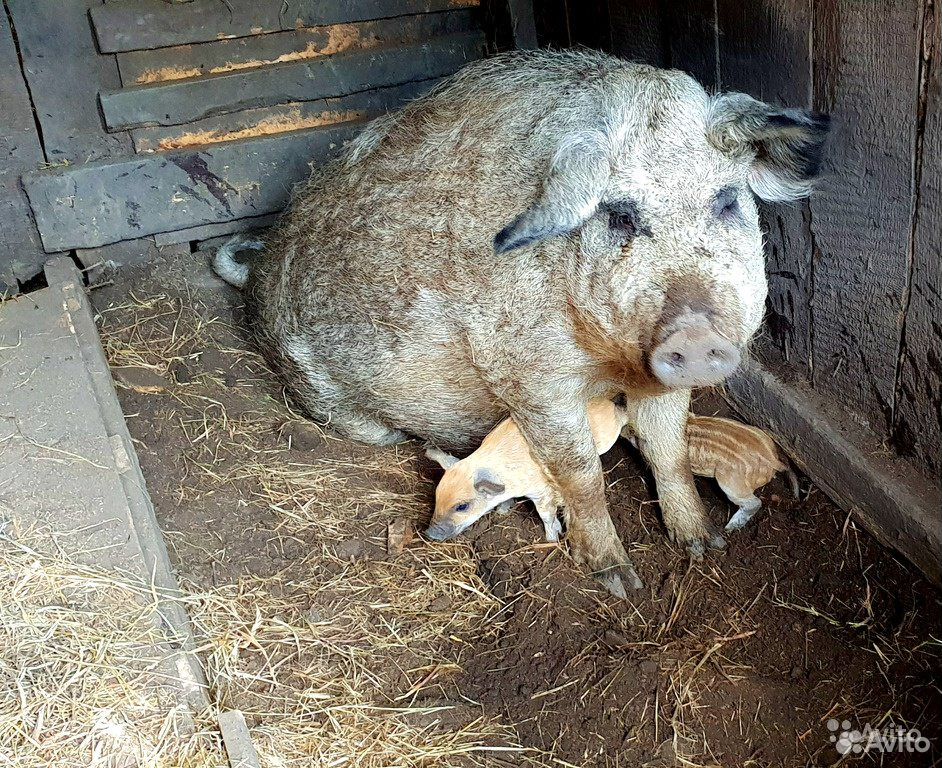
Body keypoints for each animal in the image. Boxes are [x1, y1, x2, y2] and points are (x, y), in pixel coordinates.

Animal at [214, 51, 824, 596]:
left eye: (727, 201)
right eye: (618, 215)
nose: (694, 335)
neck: (611, 363)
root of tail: (260, 272)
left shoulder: (656, 377)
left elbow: (668, 450)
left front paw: (702, 546)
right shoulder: (530, 376)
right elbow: (581, 473)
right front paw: (621, 584)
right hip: (332, 401)